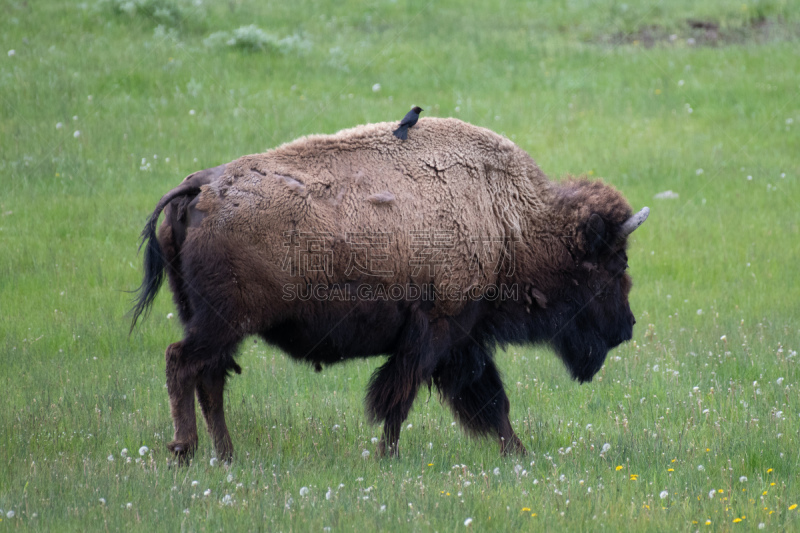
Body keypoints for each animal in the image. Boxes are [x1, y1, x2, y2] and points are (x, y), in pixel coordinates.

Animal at [130, 118, 644, 460]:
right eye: (615, 264)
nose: (628, 327)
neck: (509, 221)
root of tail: (198, 187)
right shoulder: (435, 333)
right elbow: (400, 399)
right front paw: (388, 456)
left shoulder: (461, 340)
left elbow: (490, 401)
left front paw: (517, 454)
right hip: (223, 322)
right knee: (182, 363)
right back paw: (185, 450)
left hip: (212, 322)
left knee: (209, 377)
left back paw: (225, 455)